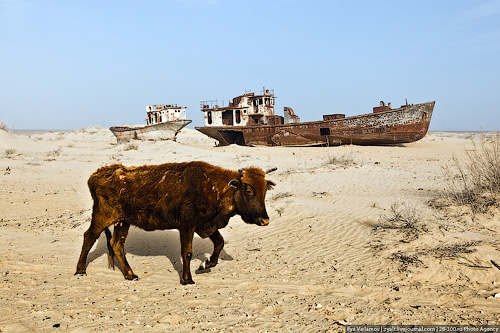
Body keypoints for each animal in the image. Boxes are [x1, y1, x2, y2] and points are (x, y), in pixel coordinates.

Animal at [76, 160, 276, 282]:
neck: (214, 187)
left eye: (265, 190)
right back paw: (80, 270)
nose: (265, 220)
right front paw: (187, 279)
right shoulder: (187, 227)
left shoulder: (206, 225)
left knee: (117, 244)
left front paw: (205, 265)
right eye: (249, 190)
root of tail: (96, 175)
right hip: (102, 217)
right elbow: (187, 252)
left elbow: (219, 243)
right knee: (89, 237)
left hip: (123, 222)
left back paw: (131, 275)